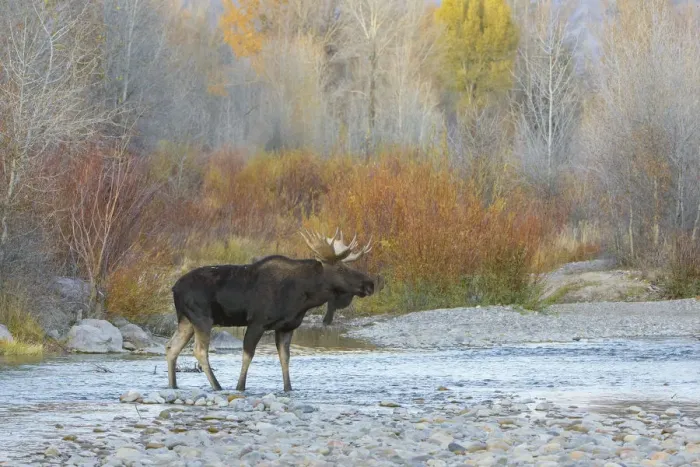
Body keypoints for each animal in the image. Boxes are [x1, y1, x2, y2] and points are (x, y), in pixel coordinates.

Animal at [165, 229, 374, 392]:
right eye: (340, 269)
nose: (369, 284)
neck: (303, 295)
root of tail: (174, 288)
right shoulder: (257, 322)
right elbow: (248, 355)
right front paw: (240, 387)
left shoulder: (286, 327)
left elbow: (285, 358)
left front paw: (288, 388)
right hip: (202, 318)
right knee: (199, 351)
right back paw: (217, 386)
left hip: (186, 320)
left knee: (171, 347)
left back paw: (173, 385)